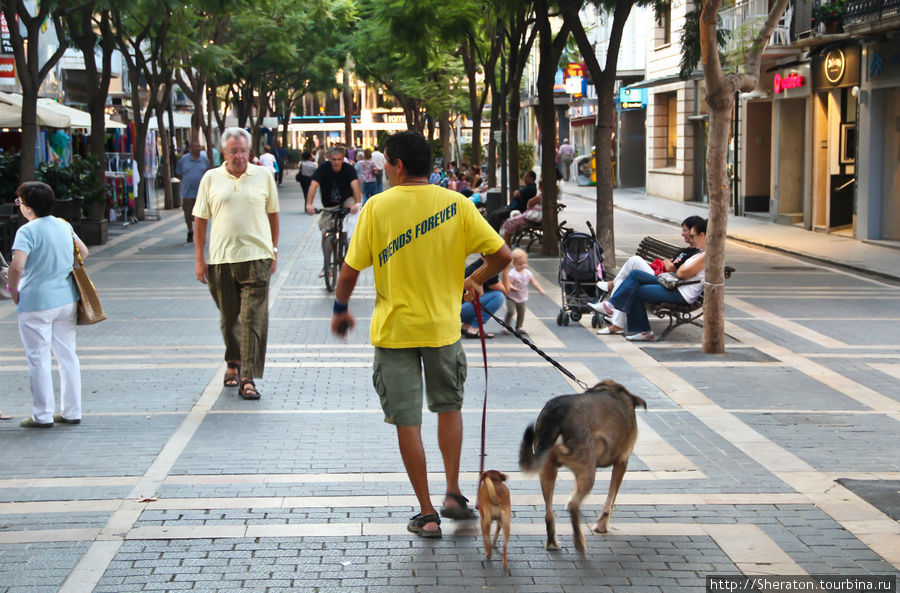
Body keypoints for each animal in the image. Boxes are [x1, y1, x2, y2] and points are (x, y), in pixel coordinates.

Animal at [520, 380, 648, 552]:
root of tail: (556, 411)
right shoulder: (622, 462)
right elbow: (610, 500)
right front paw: (602, 526)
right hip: (586, 466)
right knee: (574, 504)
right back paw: (579, 542)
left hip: (548, 471)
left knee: (549, 513)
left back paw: (553, 542)